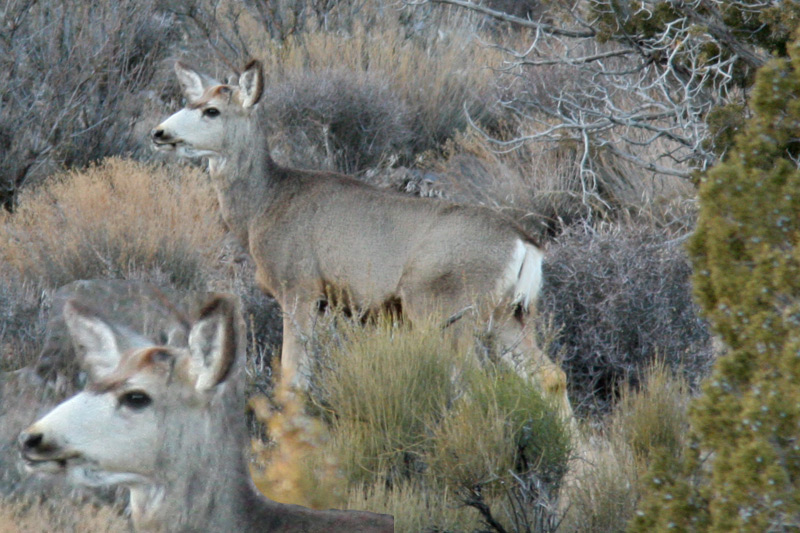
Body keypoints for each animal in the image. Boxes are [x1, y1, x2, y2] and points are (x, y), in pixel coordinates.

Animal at [150, 61, 572, 420]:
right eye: (190, 101)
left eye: (212, 111)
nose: (159, 133)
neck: (264, 205)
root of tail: (524, 243)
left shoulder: (299, 288)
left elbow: (292, 380)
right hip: (509, 314)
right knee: (550, 376)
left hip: (444, 307)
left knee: (473, 382)